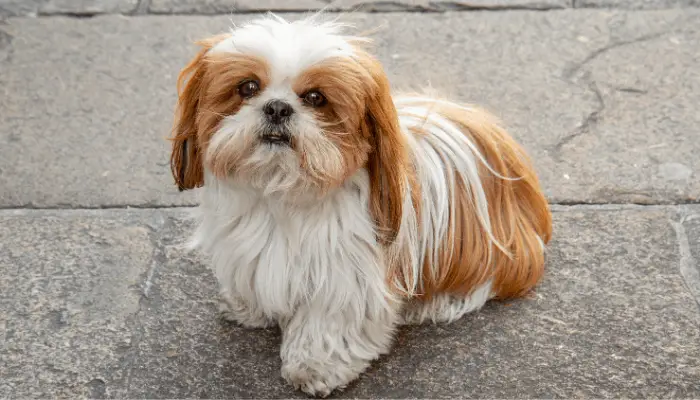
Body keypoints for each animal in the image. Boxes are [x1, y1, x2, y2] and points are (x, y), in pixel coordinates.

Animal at [170, 12, 552, 396]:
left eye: (316, 97)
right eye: (247, 87)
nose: (278, 107)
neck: (283, 193)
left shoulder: (345, 277)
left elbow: (327, 323)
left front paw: (314, 367)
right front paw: (248, 307)